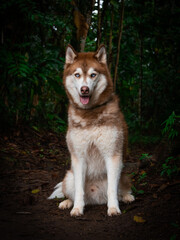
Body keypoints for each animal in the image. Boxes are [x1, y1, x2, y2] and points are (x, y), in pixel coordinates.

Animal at [48, 44, 134, 217]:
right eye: (77, 75)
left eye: (93, 75)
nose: (84, 89)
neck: (90, 114)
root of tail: (97, 199)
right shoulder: (78, 157)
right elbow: (79, 190)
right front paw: (77, 208)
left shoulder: (113, 155)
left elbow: (112, 189)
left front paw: (113, 208)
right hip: (69, 177)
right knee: (72, 192)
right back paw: (67, 202)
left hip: (123, 175)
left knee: (121, 190)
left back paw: (127, 197)